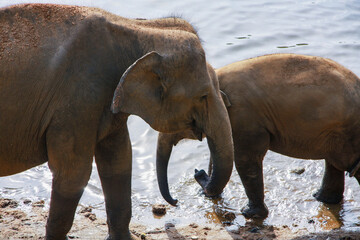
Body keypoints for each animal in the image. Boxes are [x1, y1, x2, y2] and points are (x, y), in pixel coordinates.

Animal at [0, 4, 235, 240]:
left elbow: (118, 161)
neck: (136, 27)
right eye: (203, 96)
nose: (199, 173)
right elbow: (73, 175)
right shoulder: (76, 102)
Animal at [156, 54, 360, 219]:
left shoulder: (243, 117)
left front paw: (249, 214)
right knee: (334, 163)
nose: (176, 201)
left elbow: (244, 159)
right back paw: (322, 199)